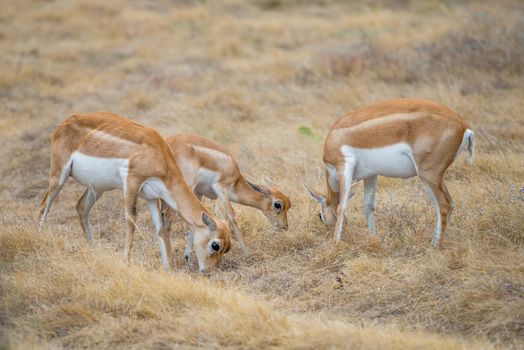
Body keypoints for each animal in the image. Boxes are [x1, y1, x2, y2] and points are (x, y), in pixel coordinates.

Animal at [37, 113, 230, 272]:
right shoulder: (132, 181)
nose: (208, 271)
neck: (159, 154)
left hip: (97, 188)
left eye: (228, 248)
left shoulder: (151, 198)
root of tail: (64, 123)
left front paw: (168, 267)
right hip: (59, 175)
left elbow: (160, 228)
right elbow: (131, 220)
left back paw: (94, 251)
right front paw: (126, 262)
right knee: (44, 205)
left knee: (81, 207)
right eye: (215, 245)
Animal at [159, 133, 290, 264]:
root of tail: (168, 144)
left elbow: (199, 219)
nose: (284, 226)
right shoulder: (221, 189)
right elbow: (231, 216)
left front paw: (188, 257)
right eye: (278, 204)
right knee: (167, 216)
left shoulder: (200, 193)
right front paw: (246, 253)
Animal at [308, 98, 474, 246]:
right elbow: (368, 207)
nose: (326, 231)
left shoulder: (344, 167)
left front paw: (335, 242)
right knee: (449, 204)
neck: (335, 136)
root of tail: (464, 126)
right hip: (437, 177)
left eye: (320, 216)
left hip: (428, 175)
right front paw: (373, 239)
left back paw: (433, 246)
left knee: (444, 206)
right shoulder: (371, 175)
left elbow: (342, 207)